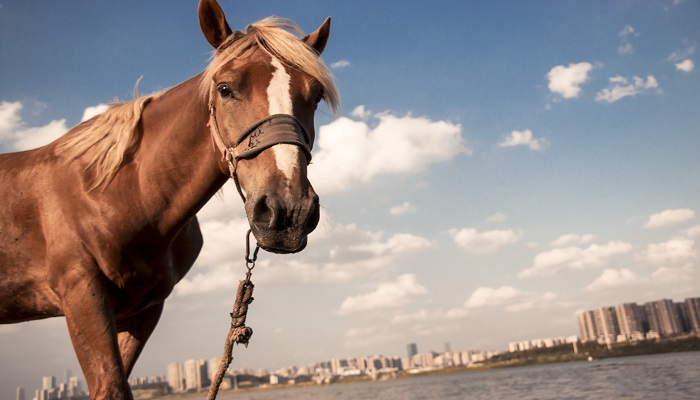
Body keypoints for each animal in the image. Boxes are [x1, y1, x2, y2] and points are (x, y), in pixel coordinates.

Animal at [0, 1, 340, 398]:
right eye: (225, 89)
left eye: (315, 96)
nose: (288, 211)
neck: (120, 193)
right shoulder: (82, 294)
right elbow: (111, 386)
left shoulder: (143, 310)